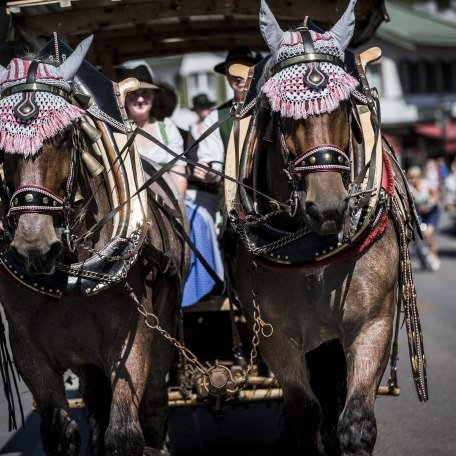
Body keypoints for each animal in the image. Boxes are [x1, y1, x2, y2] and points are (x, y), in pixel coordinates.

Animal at [0, 37, 187, 454]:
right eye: (0, 144)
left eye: (63, 135)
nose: (34, 246)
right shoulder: (28, 352)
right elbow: (62, 433)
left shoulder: (132, 344)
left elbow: (124, 434)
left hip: (163, 332)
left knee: (154, 406)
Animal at [224, 0, 428, 456]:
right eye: (281, 114)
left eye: (345, 107)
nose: (329, 207)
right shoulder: (276, 337)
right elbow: (306, 414)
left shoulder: (372, 325)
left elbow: (355, 422)